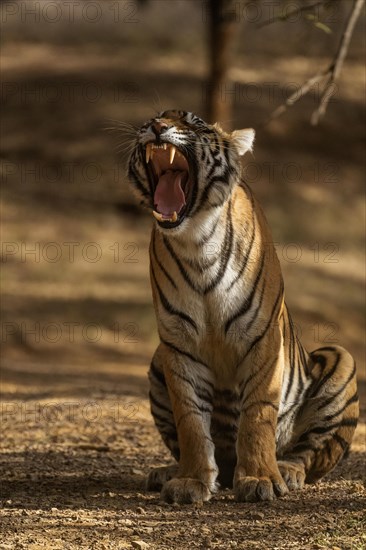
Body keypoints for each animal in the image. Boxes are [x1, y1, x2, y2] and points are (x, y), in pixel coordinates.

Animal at [126, 108, 358, 504]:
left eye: (194, 122)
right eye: (152, 118)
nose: (157, 127)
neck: (195, 241)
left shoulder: (262, 337)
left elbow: (257, 415)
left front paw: (261, 479)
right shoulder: (178, 343)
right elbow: (190, 419)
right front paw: (191, 481)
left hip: (341, 359)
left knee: (310, 455)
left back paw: (287, 470)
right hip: (158, 360)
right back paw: (168, 472)